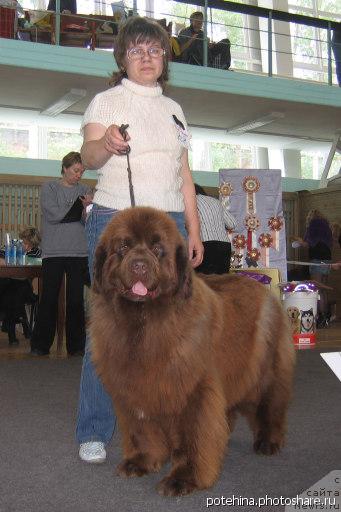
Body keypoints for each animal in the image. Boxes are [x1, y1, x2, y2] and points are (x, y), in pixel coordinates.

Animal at [90, 207, 294, 496]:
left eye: (157, 249)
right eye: (124, 247)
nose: (139, 265)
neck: (144, 325)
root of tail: (264, 287)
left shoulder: (194, 390)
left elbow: (194, 436)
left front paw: (183, 478)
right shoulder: (135, 386)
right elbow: (142, 428)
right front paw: (141, 461)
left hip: (265, 369)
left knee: (270, 402)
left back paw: (268, 441)